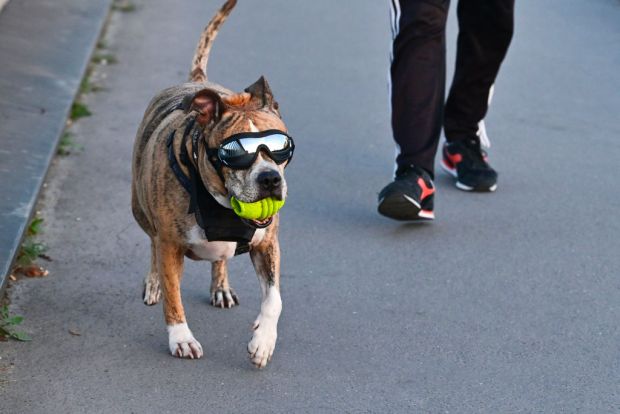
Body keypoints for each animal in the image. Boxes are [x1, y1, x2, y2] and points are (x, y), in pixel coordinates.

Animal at [132, 0, 286, 368]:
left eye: (280, 147)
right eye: (234, 152)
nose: (270, 178)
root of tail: (197, 82)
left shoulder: (267, 243)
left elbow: (274, 299)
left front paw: (263, 341)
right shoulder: (170, 246)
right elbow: (173, 296)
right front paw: (181, 338)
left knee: (221, 259)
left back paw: (221, 286)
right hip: (139, 210)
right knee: (151, 242)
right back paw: (154, 282)